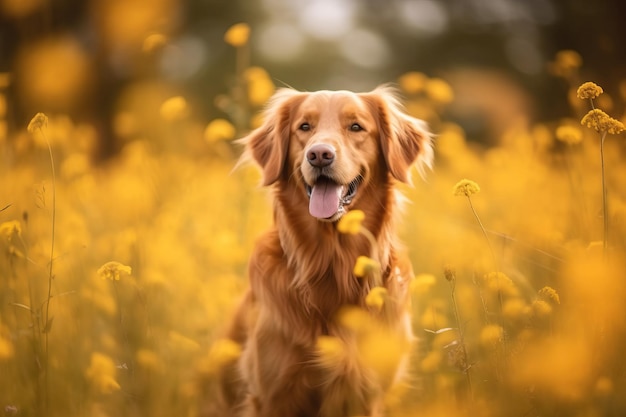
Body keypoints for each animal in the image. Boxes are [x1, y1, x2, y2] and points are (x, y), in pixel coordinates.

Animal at [207, 85, 432, 416]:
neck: (331, 264)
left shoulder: (366, 395)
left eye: (356, 127)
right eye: (304, 127)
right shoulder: (272, 396)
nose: (319, 155)